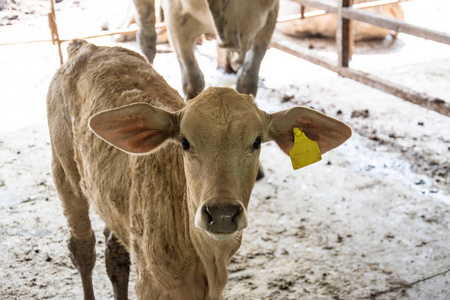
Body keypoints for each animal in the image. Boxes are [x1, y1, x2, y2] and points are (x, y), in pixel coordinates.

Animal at [47, 39, 354, 300]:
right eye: (184, 141)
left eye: (257, 141)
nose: (222, 214)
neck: (206, 257)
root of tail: (86, 46)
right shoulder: (150, 285)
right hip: (63, 171)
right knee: (83, 248)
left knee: (115, 253)